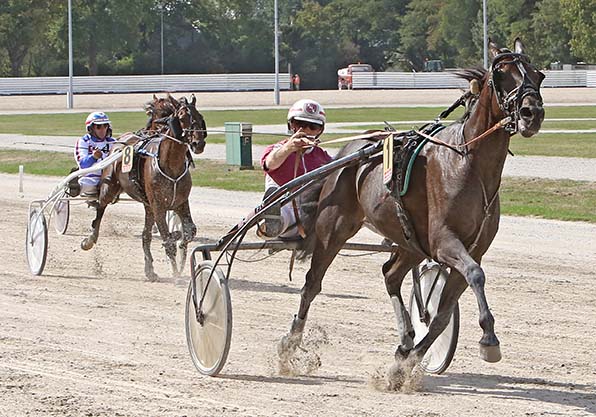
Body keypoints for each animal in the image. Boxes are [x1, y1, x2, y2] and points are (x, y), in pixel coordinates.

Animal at [80, 92, 207, 278]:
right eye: (182, 117)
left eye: (199, 116)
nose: (199, 143)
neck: (170, 164)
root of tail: (120, 141)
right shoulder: (159, 206)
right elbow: (168, 241)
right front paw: (177, 276)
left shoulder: (181, 203)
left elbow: (189, 232)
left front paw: (181, 245)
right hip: (109, 188)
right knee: (100, 209)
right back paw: (89, 239)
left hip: (148, 205)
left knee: (145, 235)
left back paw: (149, 269)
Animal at [280, 39, 544, 376]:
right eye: (501, 74)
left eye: (538, 75)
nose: (532, 112)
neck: (467, 163)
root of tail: (349, 152)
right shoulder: (445, 241)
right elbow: (476, 274)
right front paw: (489, 339)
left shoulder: (471, 247)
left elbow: (442, 314)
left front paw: (405, 364)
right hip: (334, 230)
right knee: (311, 285)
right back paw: (290, 344)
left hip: (410, 241)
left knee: (390, 275)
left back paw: (406, 338)